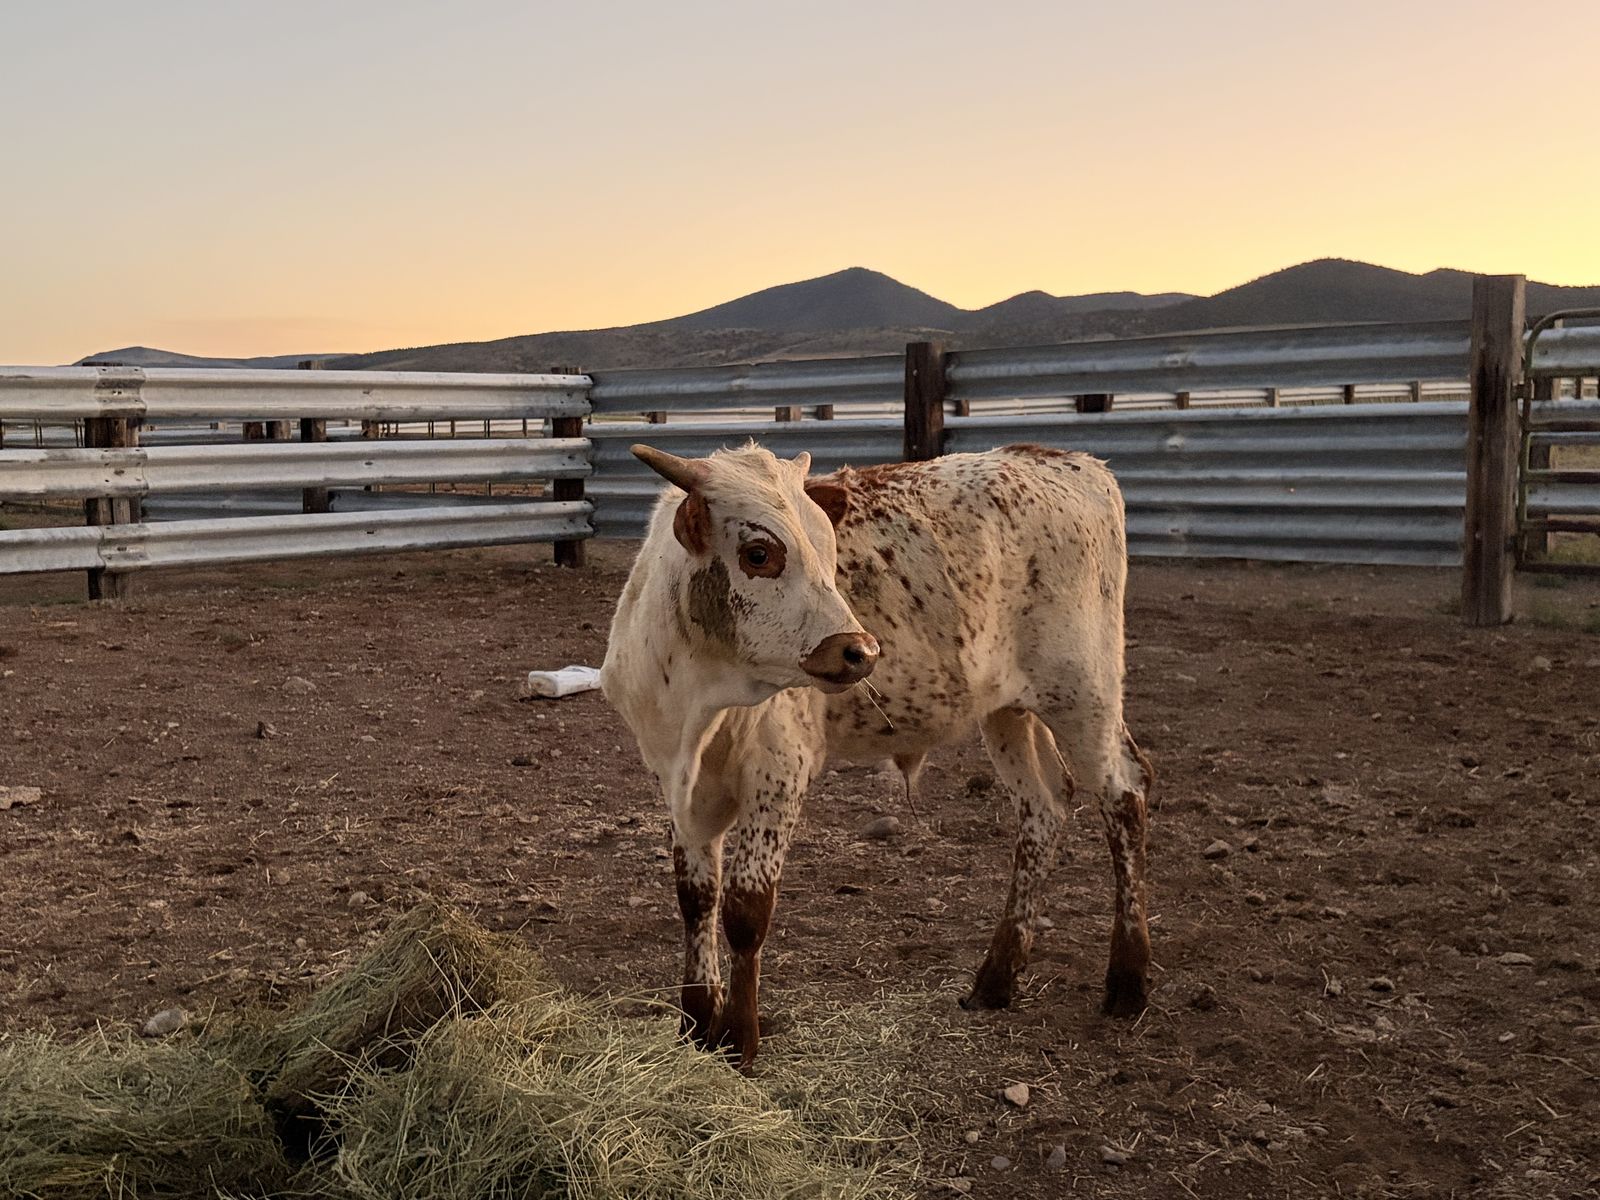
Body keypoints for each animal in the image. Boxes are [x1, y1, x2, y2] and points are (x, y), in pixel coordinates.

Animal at [600, 441, 1153, 1069]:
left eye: (829, 548)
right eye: (759, 553)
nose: (860, 651)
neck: (700, 699)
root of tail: (1069, 461)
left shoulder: (779, 771)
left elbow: (746, 909)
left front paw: (739, 1041)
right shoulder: (676, 779)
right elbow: (696, 898)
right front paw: (695, 1028)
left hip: (1084, 693)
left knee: (1125, 794)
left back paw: (1128, 980)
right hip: (1008, 709)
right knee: (1044, 808)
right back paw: (996, 979)